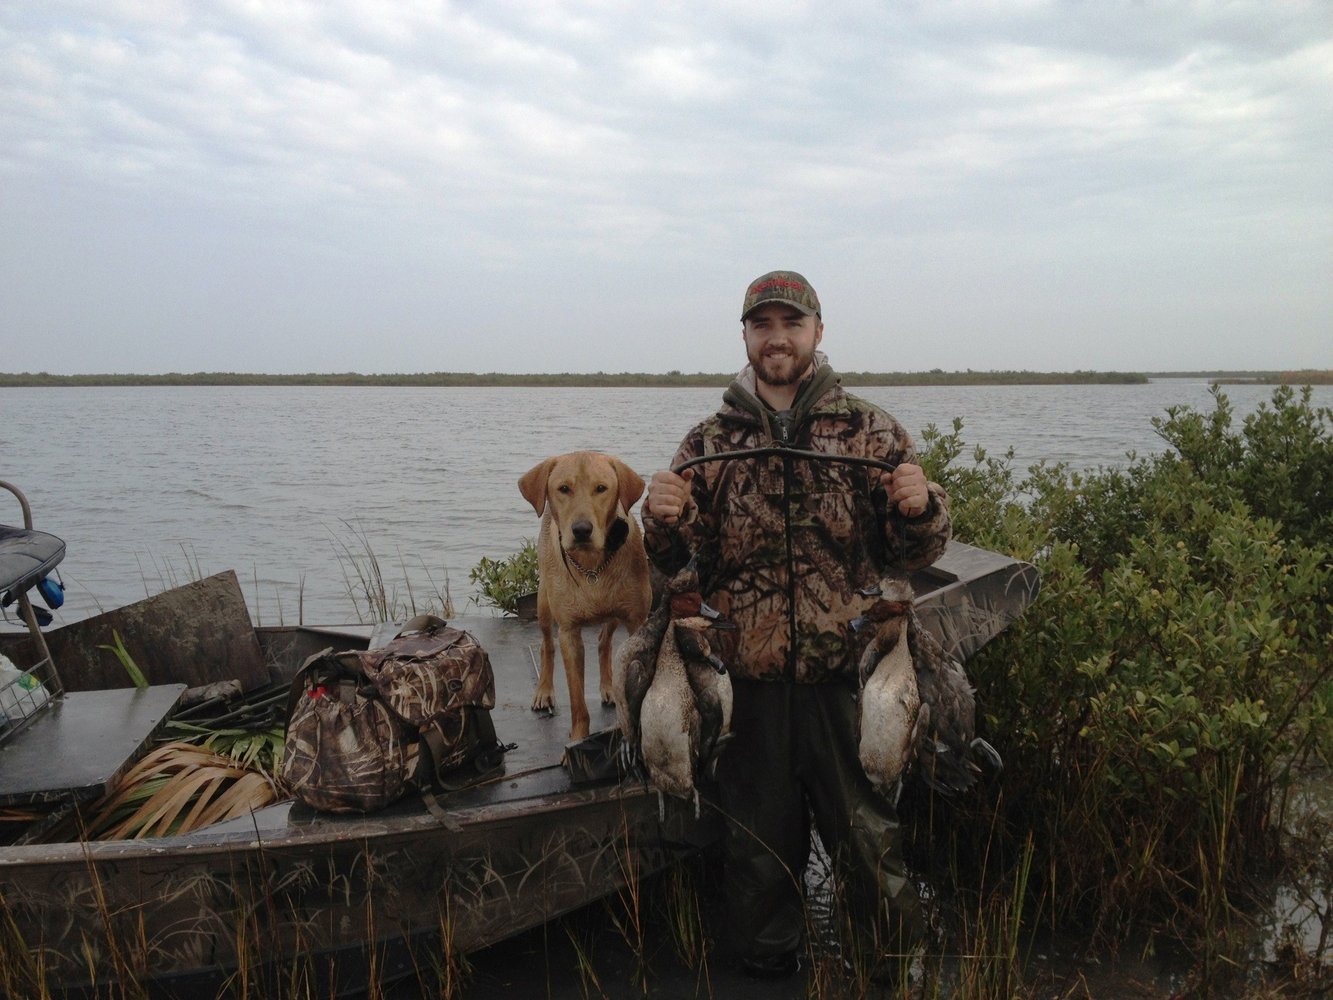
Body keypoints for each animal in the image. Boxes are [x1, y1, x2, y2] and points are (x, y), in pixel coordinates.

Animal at [517, 453, 653, 746]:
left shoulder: (636, 620)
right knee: (546, 646)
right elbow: (577, 698)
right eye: (563, 488)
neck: (592, 568)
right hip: (543, 604)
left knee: (604, 642)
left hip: (613, 615)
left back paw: (608, 685)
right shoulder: (569, 632)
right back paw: (544, 690)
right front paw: (578, 737)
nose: (581, 530)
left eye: (601, 488)